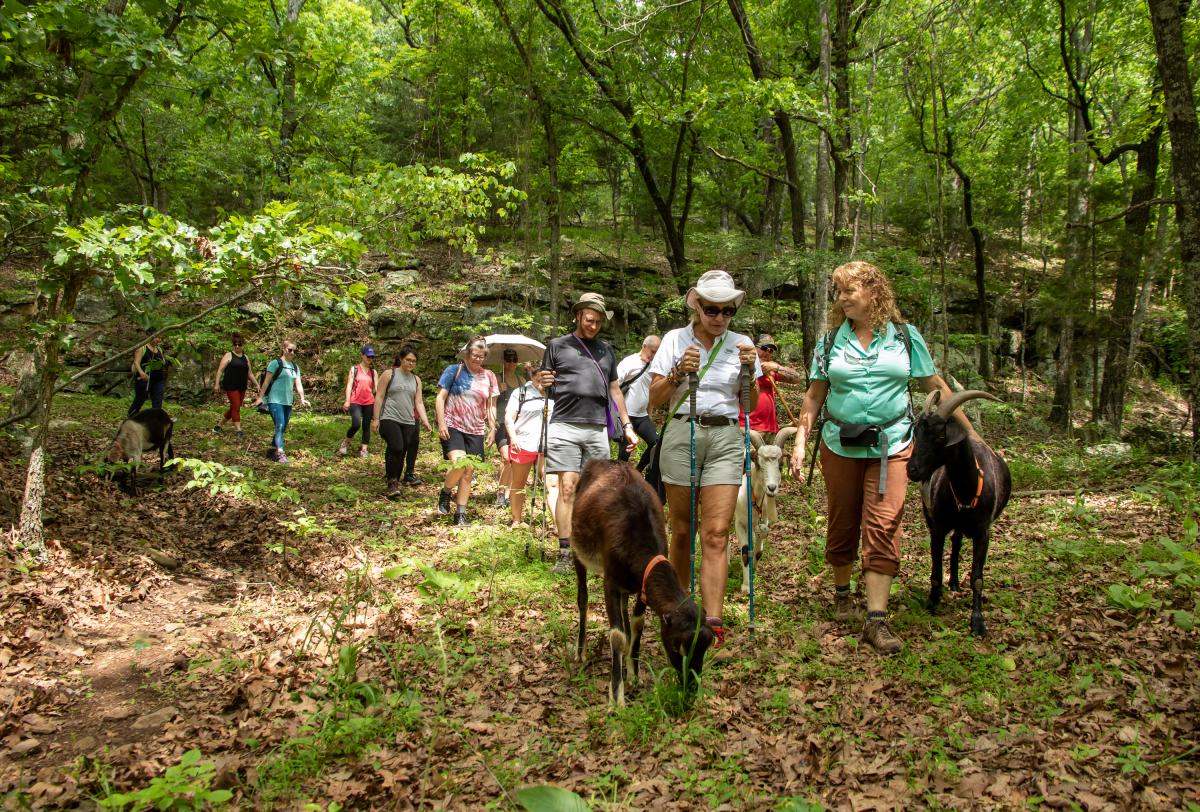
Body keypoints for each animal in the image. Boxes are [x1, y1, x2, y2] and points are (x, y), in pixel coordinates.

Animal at [571, 458, 710, 705]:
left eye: (705, 648)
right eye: (677, 647)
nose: (691, 690)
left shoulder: (643, 586)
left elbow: (638, 623)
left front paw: (634, 673)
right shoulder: (611, 581)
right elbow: (616, 636)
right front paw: (616, 697)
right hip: (577, 548)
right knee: (582, 597)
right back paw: (580, 650)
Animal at [729, 424, 796, 594]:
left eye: (780, 464)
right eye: (758, 464)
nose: (771, 488)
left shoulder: (762, 520)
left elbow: (758, 551)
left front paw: (754, 571)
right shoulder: (740, 523)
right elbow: (745, 550)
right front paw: (746, 586)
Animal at [907, 388, 1012, 638]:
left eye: (940, 437)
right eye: (916, 433)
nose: (912, 469)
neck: (967, 490)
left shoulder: (983, 533)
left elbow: (977, 579)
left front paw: (978, 622)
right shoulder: (938, 526)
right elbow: (936, 571)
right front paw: (933, 601)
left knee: (957, 541)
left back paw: (955, 582)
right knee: (955, 541)